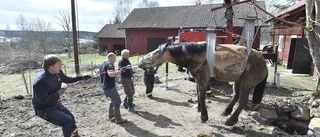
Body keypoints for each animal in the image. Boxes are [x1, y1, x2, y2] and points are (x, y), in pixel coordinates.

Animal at [138, 42, 268, 126]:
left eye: (155, 53)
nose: (140, 62)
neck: (197, 56)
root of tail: (263, 60)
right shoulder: (197, 80)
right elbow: (198, 94)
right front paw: (199, 109)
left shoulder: (203, 80)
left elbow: (202, 96)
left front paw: (204, 116)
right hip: (238, 80)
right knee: (235, 96)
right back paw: (226, 111)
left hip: (247, 83)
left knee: (242, 102)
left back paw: (231, 120)